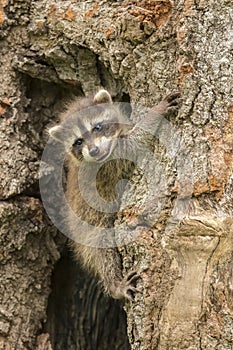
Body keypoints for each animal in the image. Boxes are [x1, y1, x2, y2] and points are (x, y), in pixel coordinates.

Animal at [48, 89, 180, 298]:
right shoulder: (109, 163)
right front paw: (156, 111)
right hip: (91, 232)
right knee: (103, 253)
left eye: (97, 127)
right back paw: (114, 284)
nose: (94, 150)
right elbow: (135, 142)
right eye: (78, 141)